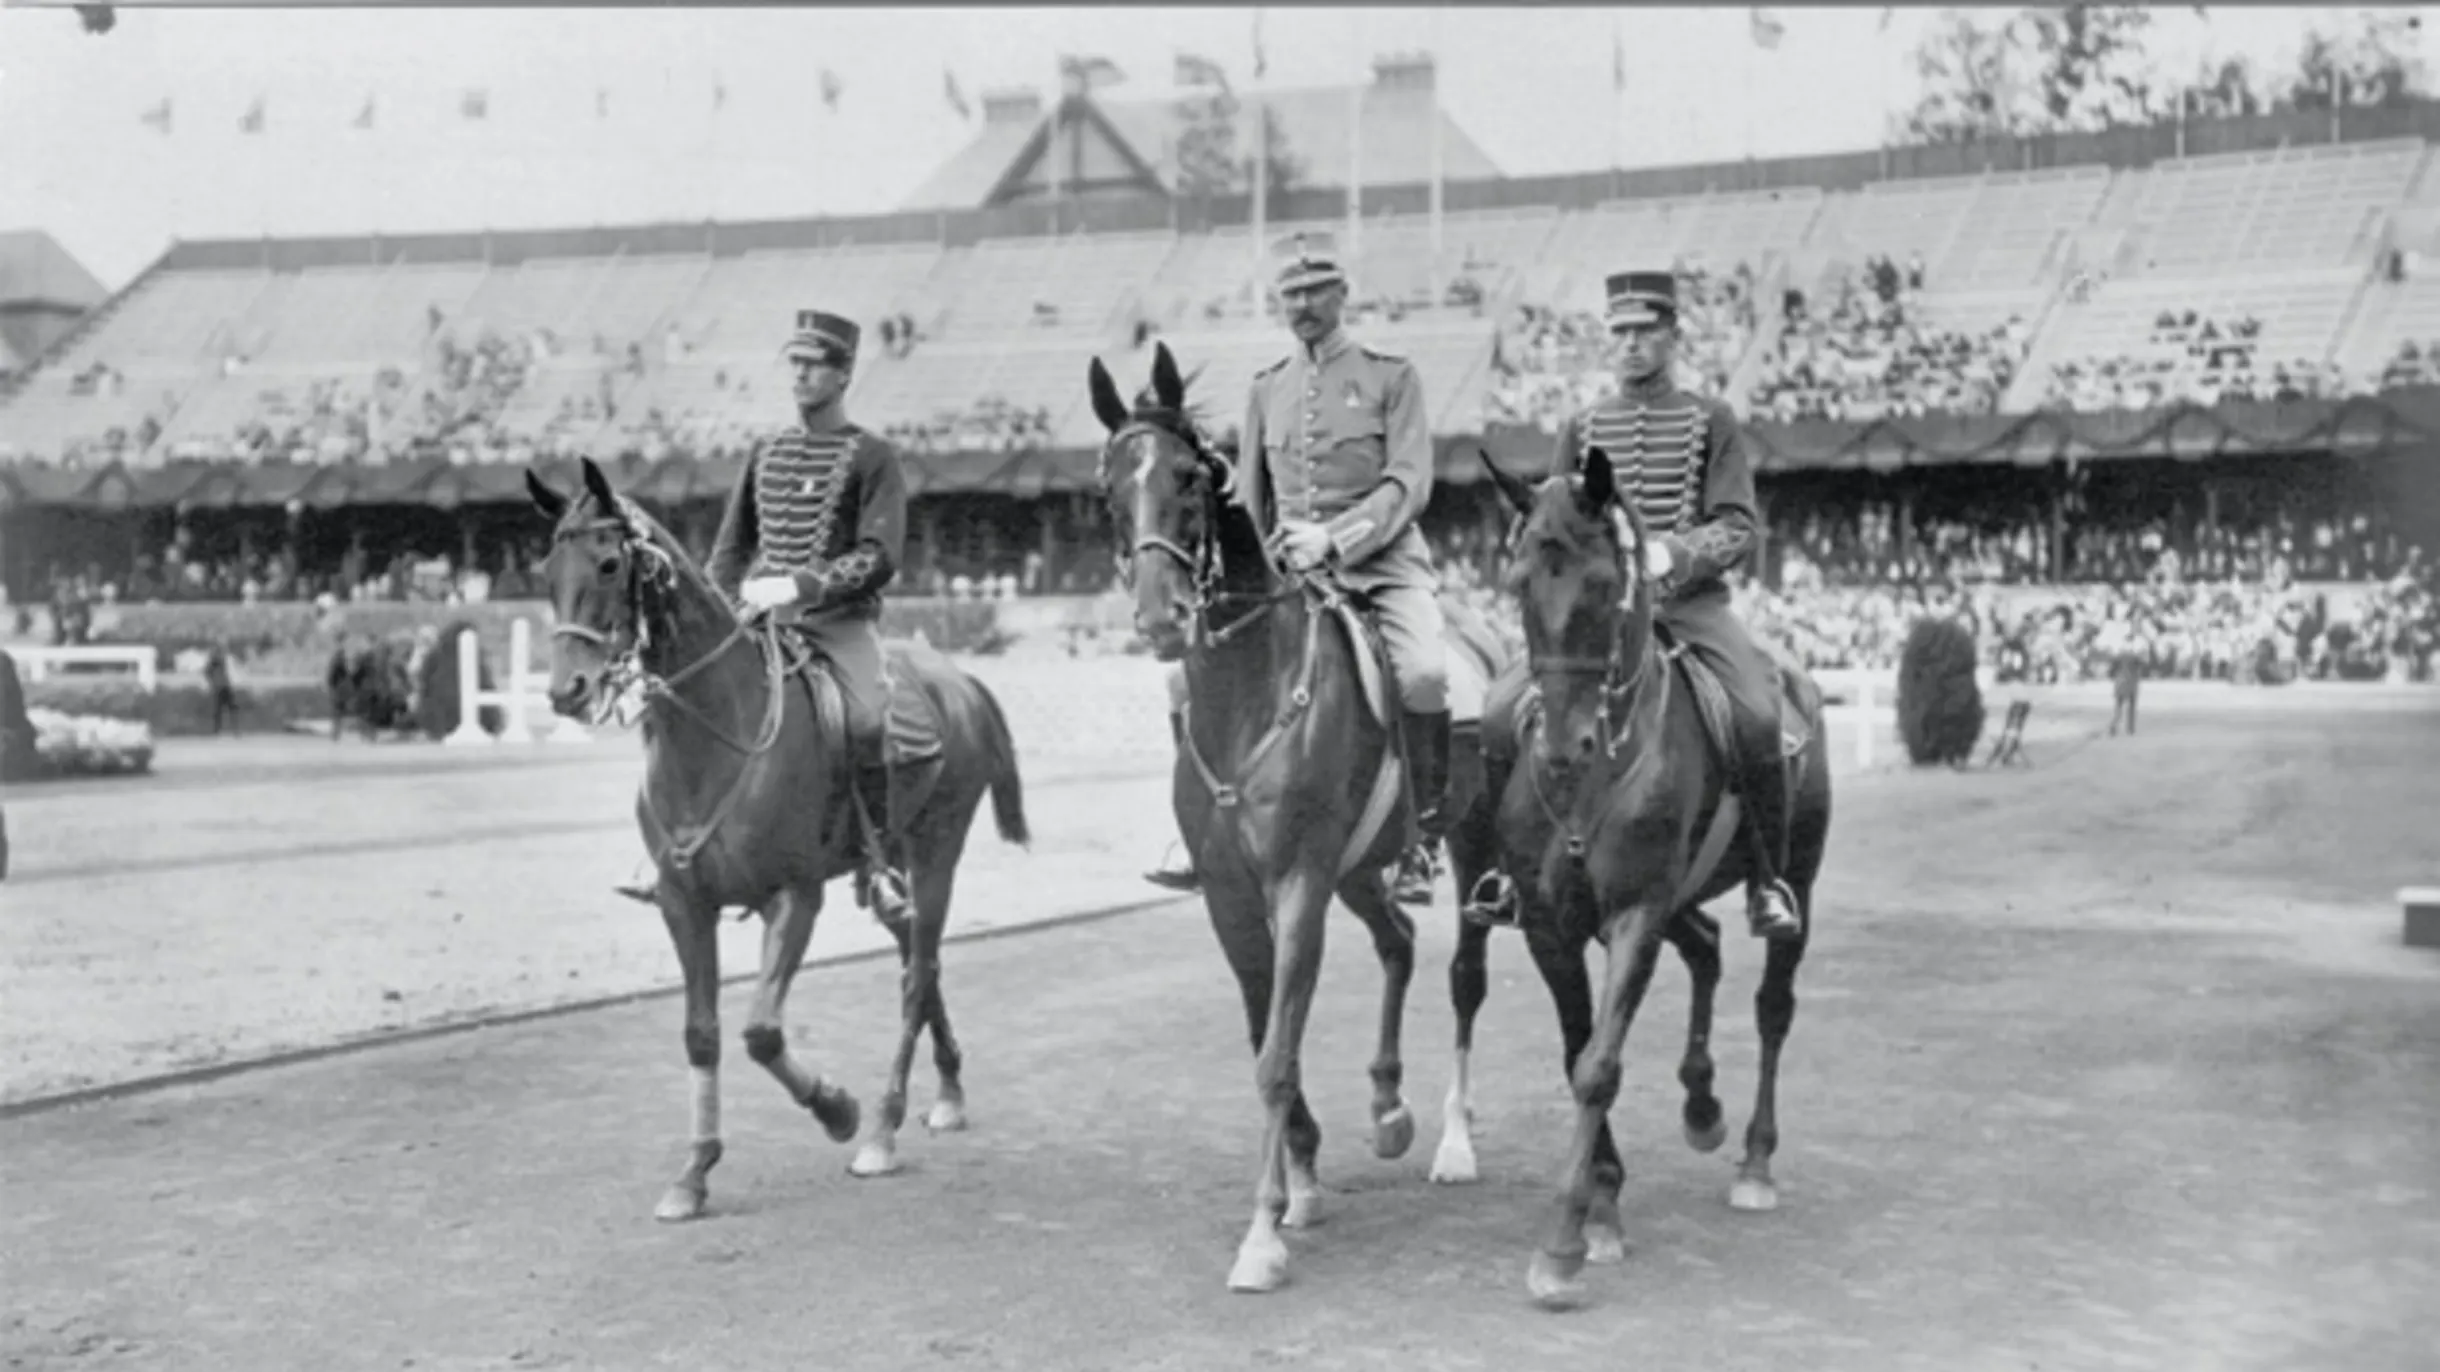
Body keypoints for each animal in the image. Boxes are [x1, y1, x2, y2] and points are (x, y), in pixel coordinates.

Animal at [529, 456, 1034, 1205]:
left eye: (611, 563)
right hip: (888, 866)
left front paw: (836, 1109)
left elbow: (762, 1033)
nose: (569, 690)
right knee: (919, 954)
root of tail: (959, 679)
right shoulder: (684, 904)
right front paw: (695, 1170)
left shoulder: (793, 898)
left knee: (916, 976)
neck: (717, 734)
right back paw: (947, 1090)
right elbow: (702, 1034)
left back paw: (882, 1129)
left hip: (937, 852)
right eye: (546, 568)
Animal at [1093, 344, 1512, 1288]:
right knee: (1398, 942)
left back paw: (1456, 1141)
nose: (1161, 618)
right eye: (1108, 487)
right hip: (1357, 871)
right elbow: (1264, 1033)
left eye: (1188, 476)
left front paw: (1262, 1233)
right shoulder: (1233, 895)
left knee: (1465, 979)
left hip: (1468, 849)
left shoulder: (1295, 885)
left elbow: (1276, 1057)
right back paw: (1388, 1108)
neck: (1250, 693)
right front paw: (1304, 1179)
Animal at [1464, 449, 1834, 1298]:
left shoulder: (1635, 911)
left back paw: (1755, 1161)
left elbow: (1598, 1065)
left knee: (1773, 1006)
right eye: (1518, 583)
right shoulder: (1551, 925)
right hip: (1676, 899)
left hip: (1794, 881)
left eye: (1605, 585)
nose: (1562, 749)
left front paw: (1565, 1239)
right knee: (1706, 948)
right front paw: (1604, 1202)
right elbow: (1578, 1050)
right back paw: (1701, 1104)